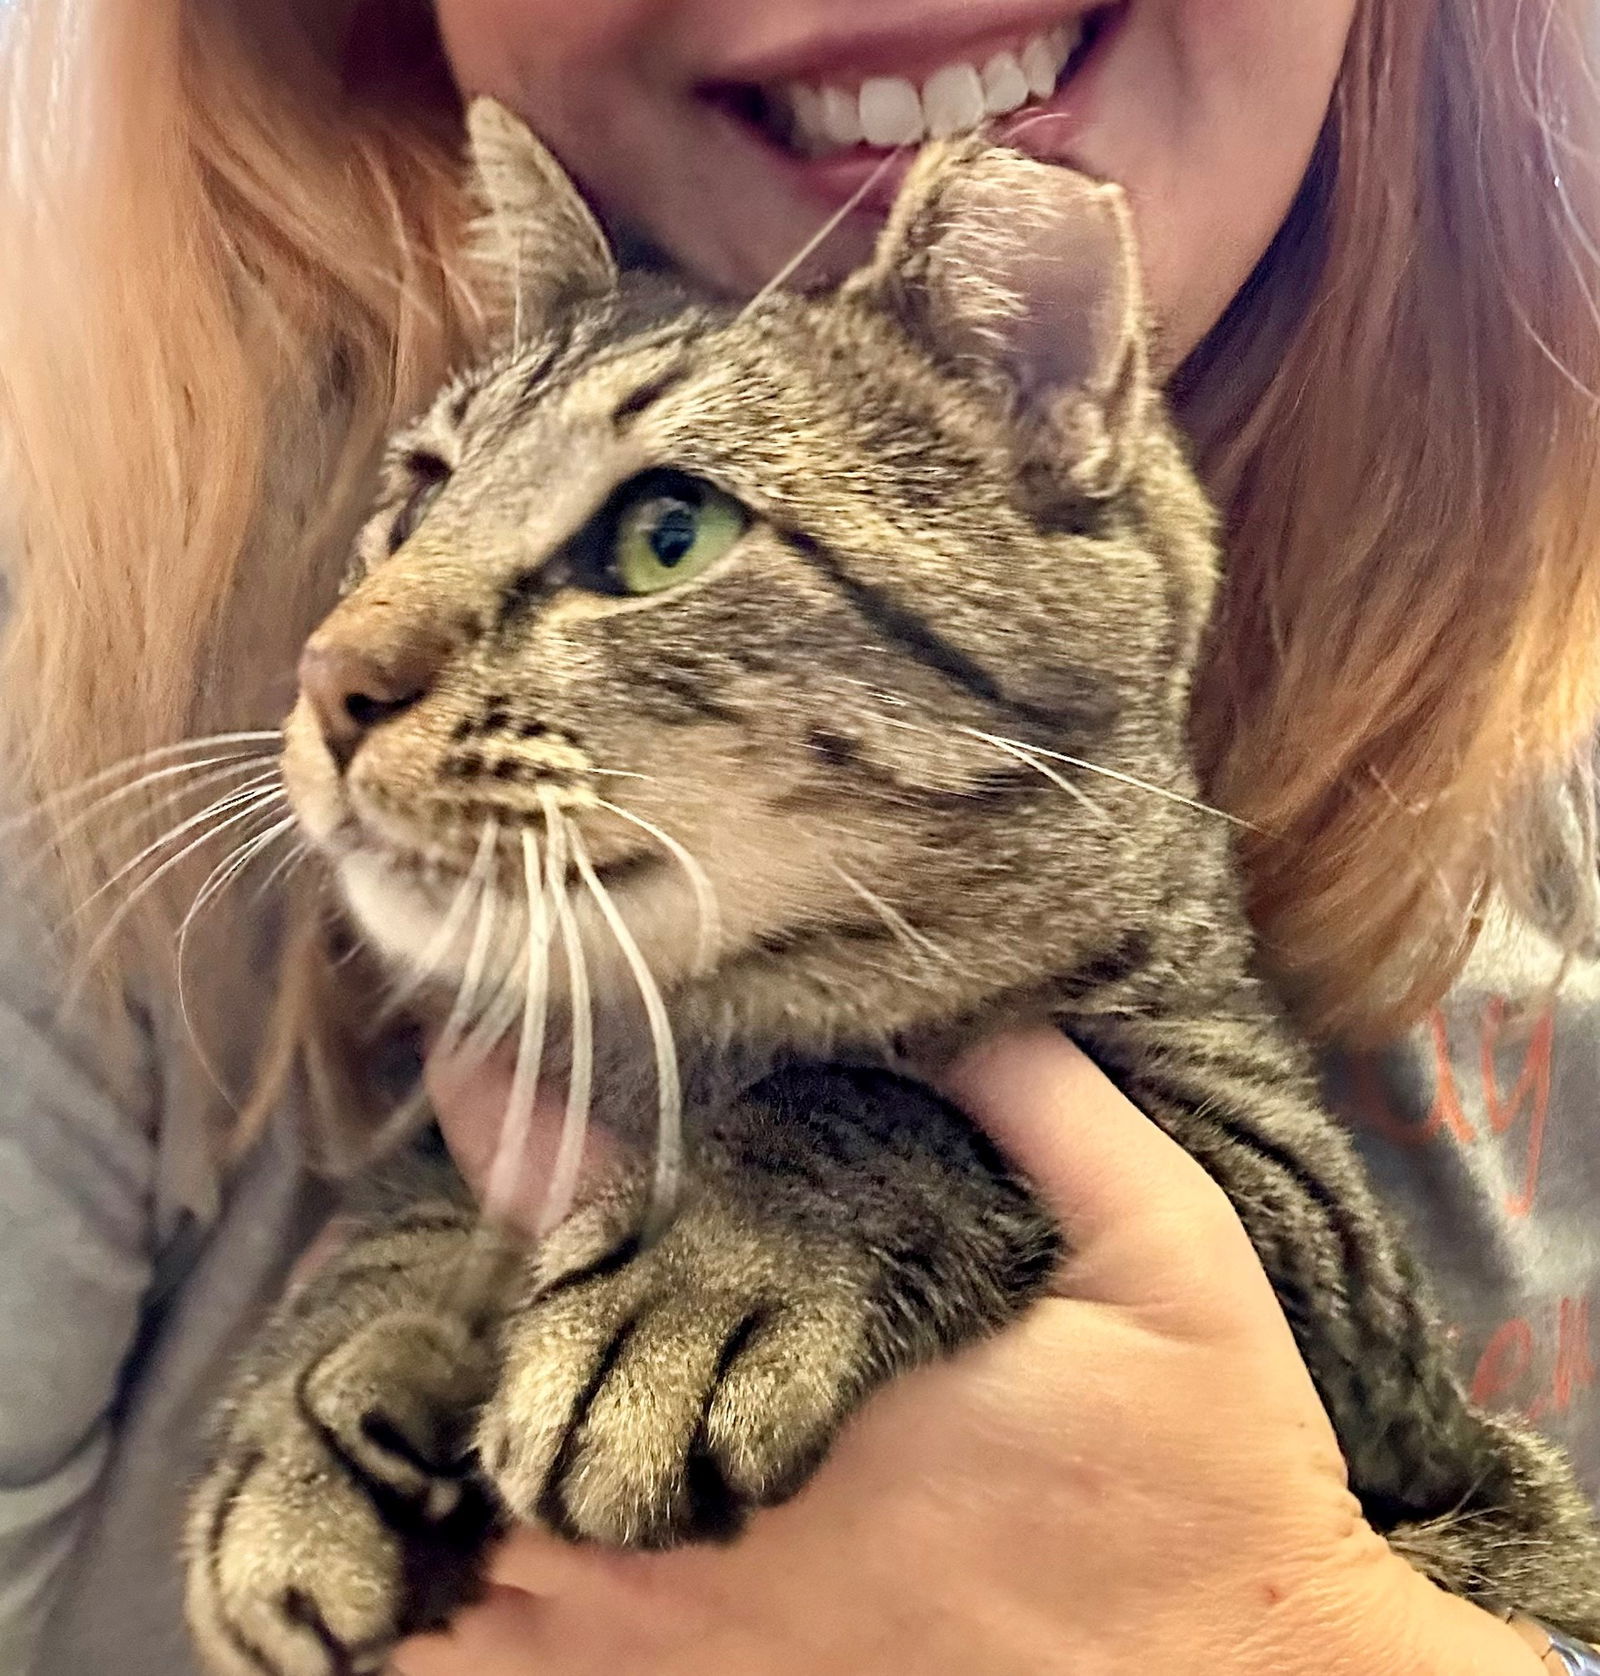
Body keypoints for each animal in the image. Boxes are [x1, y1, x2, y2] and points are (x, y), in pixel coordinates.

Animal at [181, 104, 1600, 1676]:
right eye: (421, 493)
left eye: (666, 532)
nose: (327, 675)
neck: (667, 1037)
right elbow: (405, 1205)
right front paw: (315, 1406)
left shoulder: (1314, 1239)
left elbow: (883, 1096)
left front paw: (704, 1263)